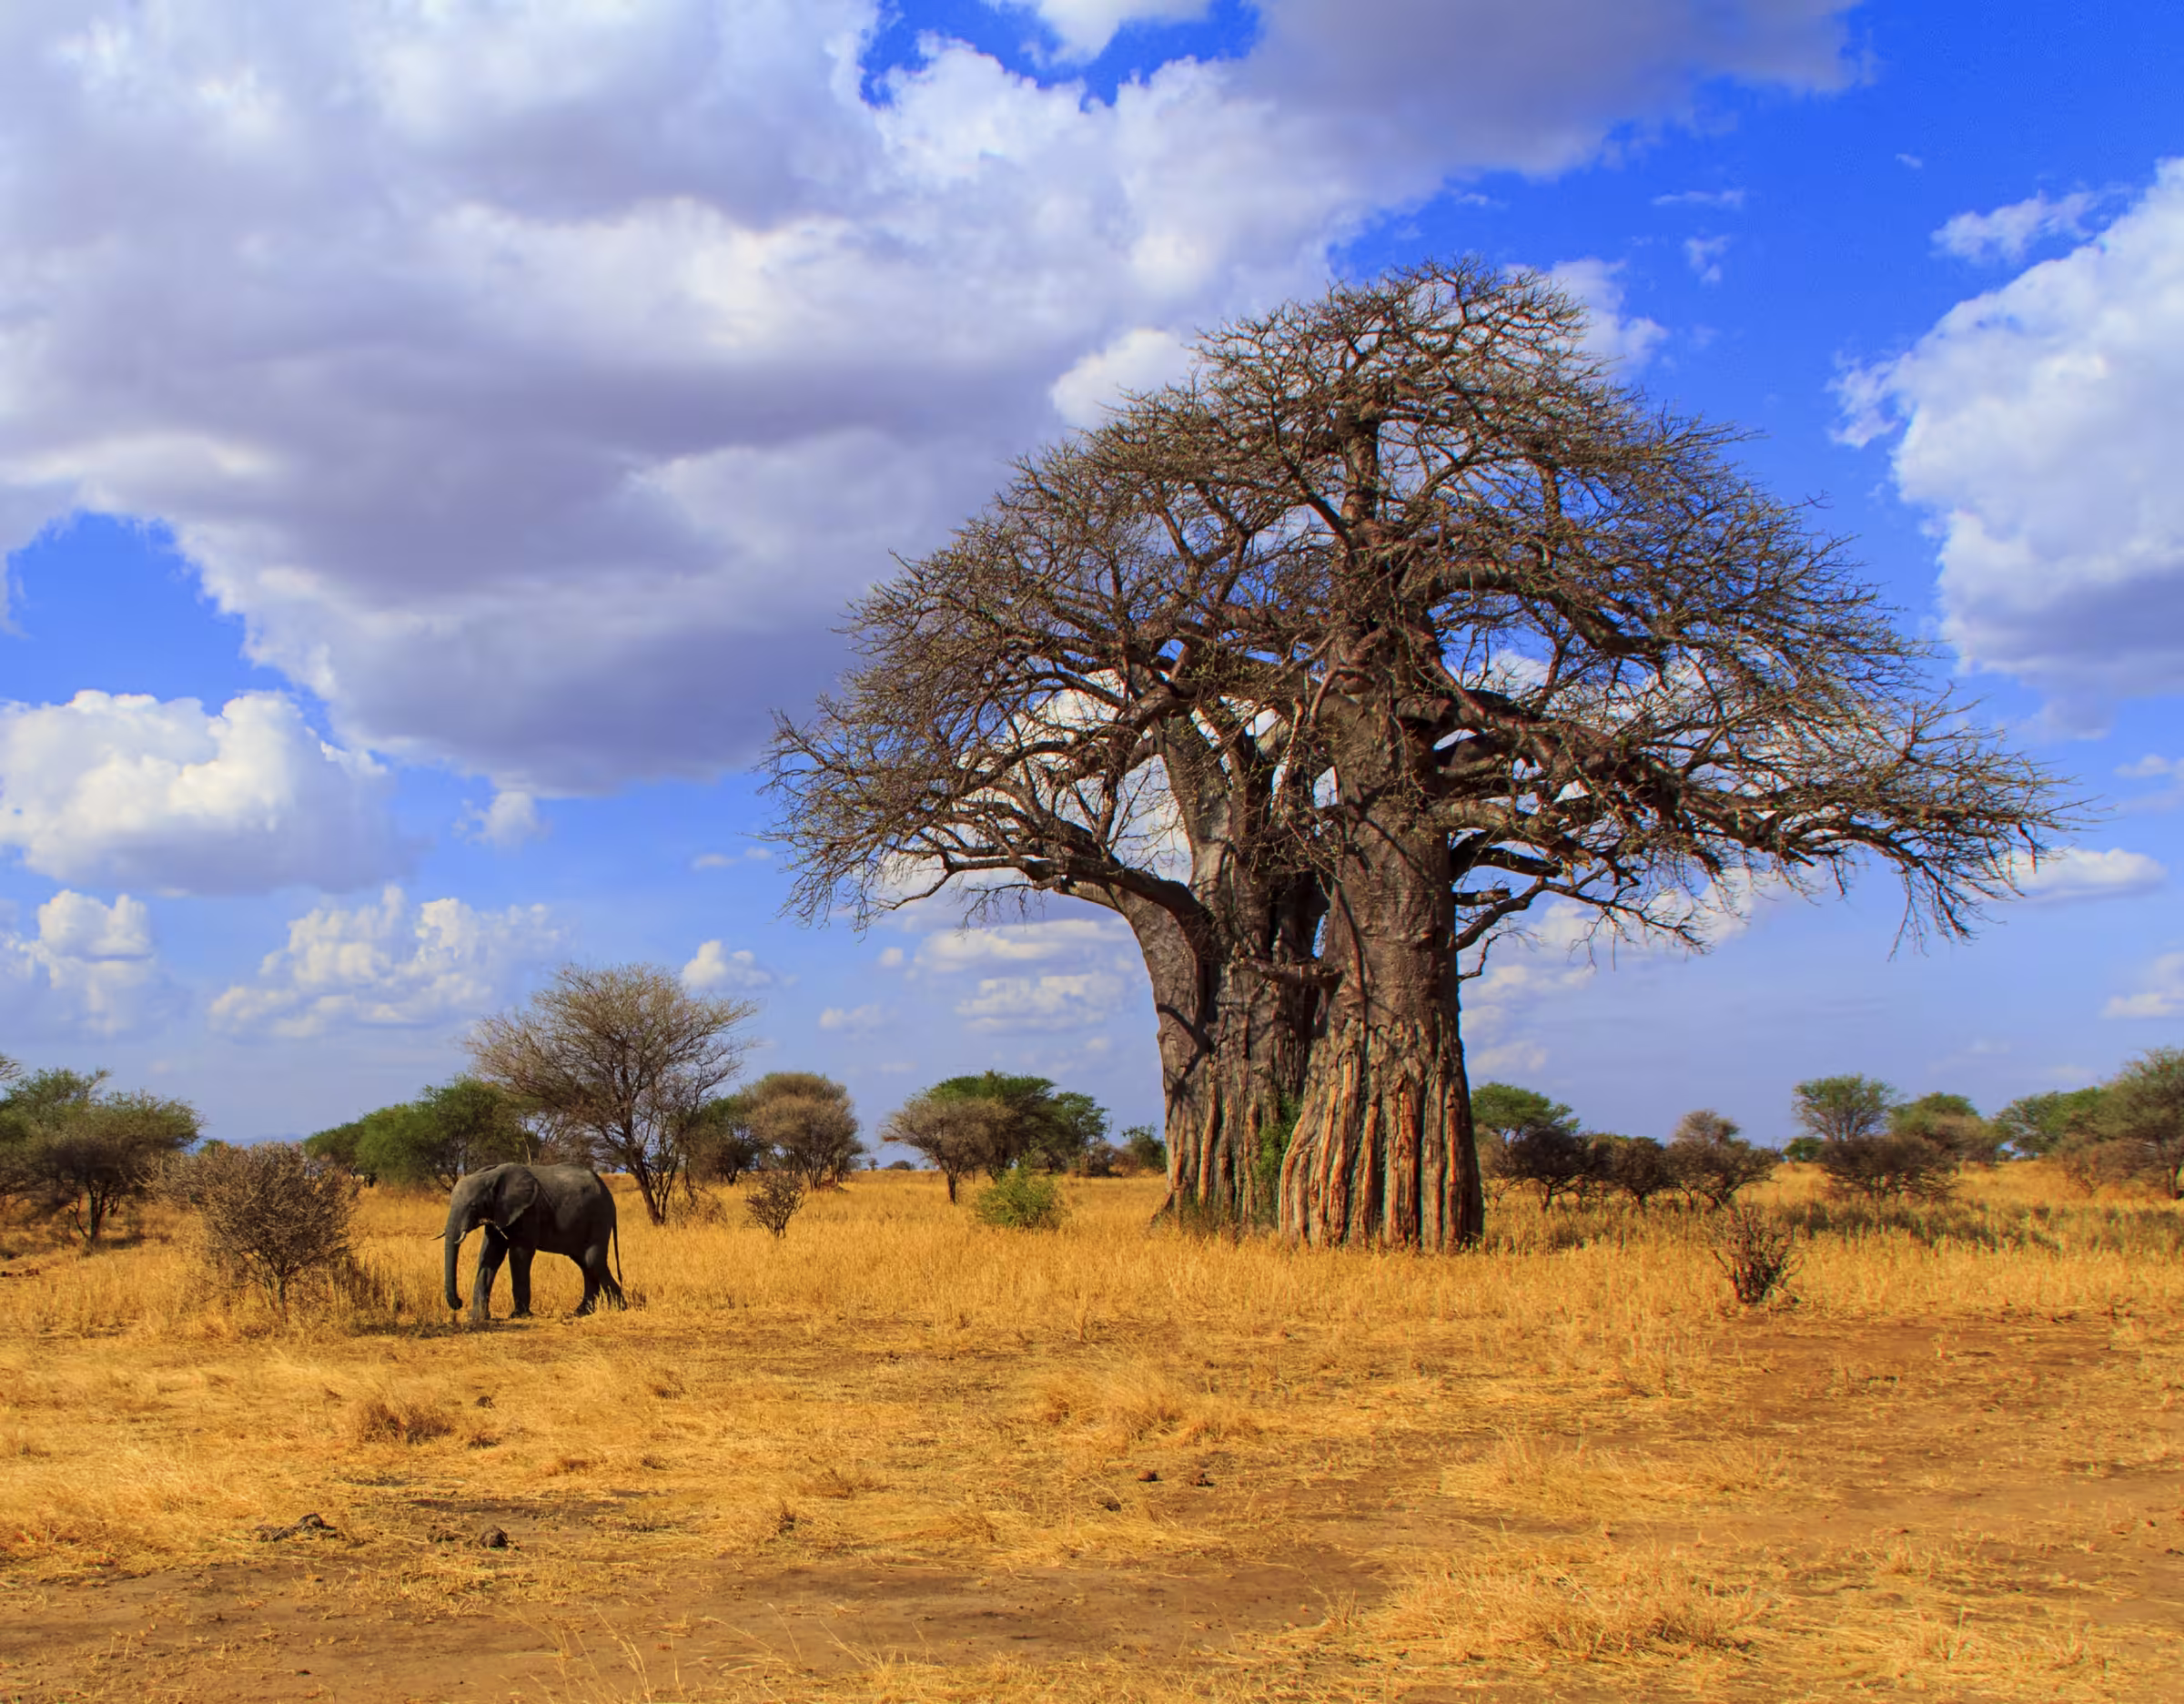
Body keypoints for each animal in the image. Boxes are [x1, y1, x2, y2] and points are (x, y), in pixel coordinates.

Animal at [443, 1163, 625, 1322]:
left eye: (473, 1206)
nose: (459, 1303)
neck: (491, 1175)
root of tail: (609, 1194)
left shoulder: (529, 1211)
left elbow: (519, 1254)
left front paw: (518, 1316)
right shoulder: (499, 1213)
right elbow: (490, 1255)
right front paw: (477, 1318)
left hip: (599, 1218)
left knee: (593, 1261)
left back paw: (620, 1308)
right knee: (585, 1263)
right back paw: (582, 1312)